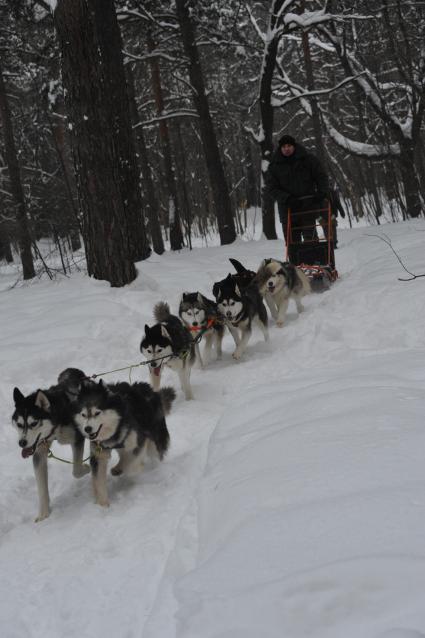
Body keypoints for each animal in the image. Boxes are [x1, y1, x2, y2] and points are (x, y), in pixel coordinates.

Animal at [11, 370, 89, 524]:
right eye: (19, 424)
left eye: (33, 423)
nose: (21, 443)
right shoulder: (38, 453)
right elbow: (41, 489)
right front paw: (44, 514)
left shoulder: (77, 438)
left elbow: (76, 471)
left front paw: (86, 467)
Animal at [71, 380, 174, 510]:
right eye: (83, 414)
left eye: (97, 413)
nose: (87, 429)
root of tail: (148, 388)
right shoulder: (99, 453)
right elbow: (99, 480)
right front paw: (103, 505)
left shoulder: (139, 441)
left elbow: (131, 465)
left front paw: (133, 470)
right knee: (123, 454)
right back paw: (118, 468)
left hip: (154, 441)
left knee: (152, 454)